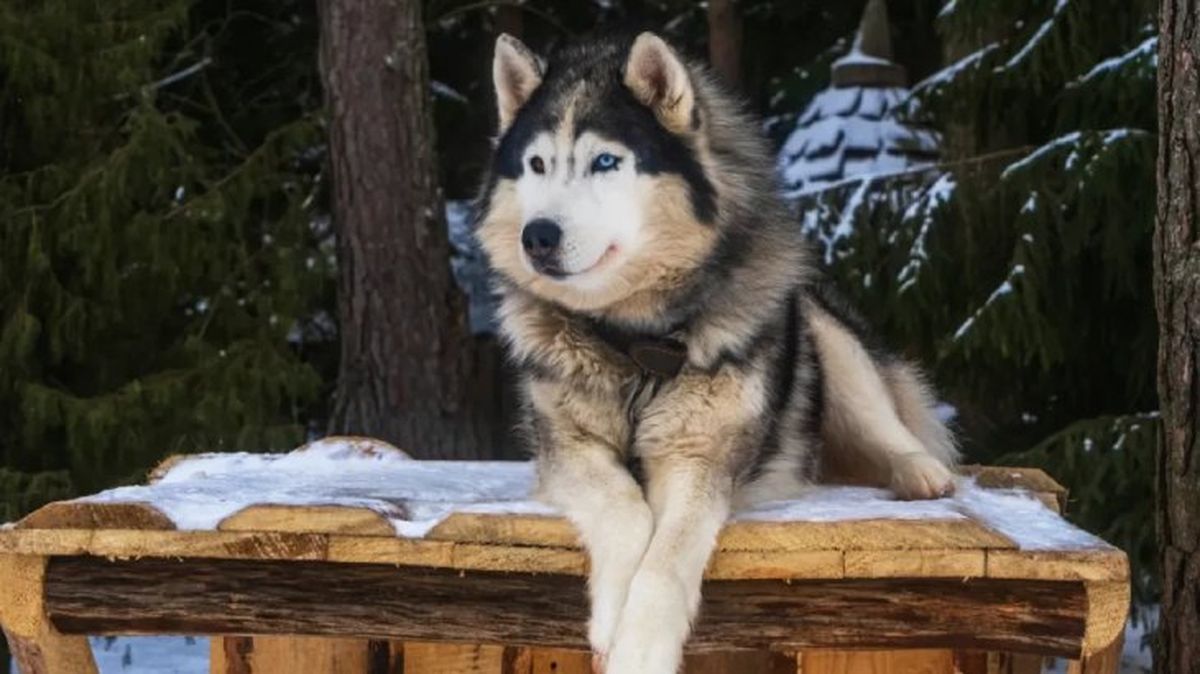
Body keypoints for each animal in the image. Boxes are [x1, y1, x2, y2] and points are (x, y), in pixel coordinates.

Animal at [474, 30, 958, 674]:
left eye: (606, 161)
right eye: (536, 165)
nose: (538, 236)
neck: (635, 345)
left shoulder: (700, 458)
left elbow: (666, 558)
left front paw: (641, 648)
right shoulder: (568, 449)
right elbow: (626, 511)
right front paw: (613, 617)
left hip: (826, 335)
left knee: (886, 423)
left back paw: (921, 472)